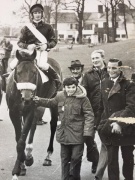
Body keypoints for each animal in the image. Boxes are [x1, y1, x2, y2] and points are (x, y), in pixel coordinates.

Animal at [5, 50, 61, 180]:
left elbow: (21, 141)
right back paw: (29, 154)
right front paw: (23, 163)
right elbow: (19, 138)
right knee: (34, 125)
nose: (27, 98)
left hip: (53, 102)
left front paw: (16, 169)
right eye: (18, 72)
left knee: (53, 125)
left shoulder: (29, 111)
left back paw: (47, 156)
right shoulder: (14, 113)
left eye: (34, 72)